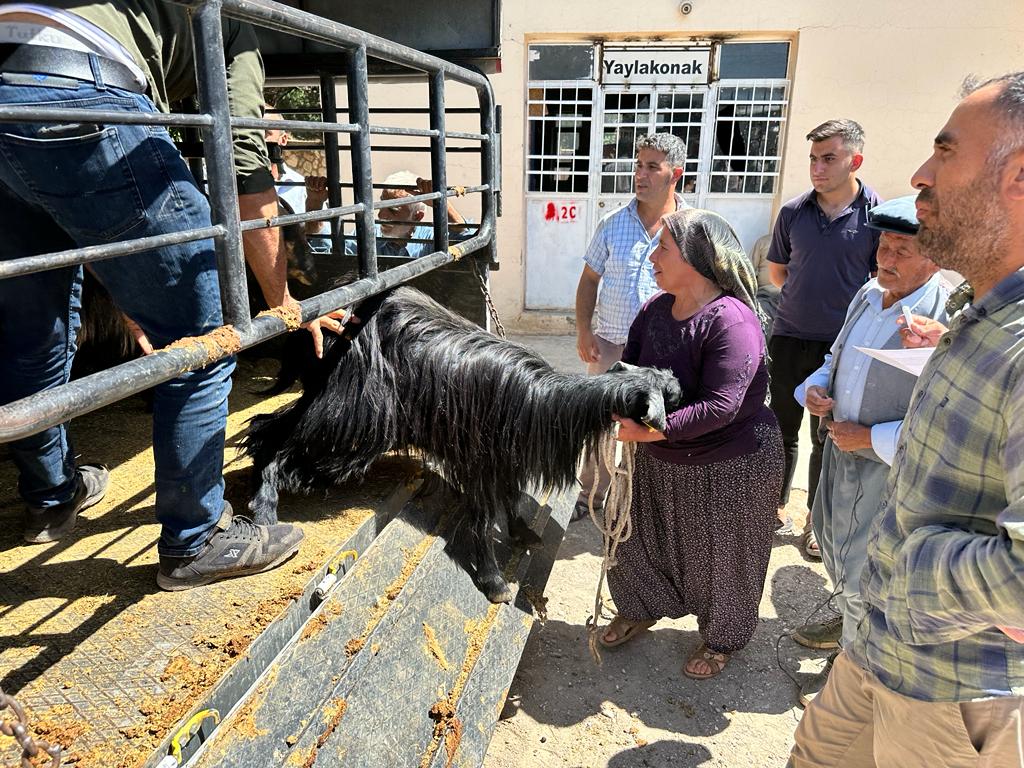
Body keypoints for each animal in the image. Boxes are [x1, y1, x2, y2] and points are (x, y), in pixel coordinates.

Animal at [243, 286, 684, 606]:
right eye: (667, 394)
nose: (683, 391)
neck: (541, 402)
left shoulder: (502, 461)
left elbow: (511, 499)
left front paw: (523, 532)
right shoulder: (480, 462)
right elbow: (481, 519)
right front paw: (494, 581)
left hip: (330, 404)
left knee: (268, 427)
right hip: (350, 419)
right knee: (279, 442)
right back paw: (265, 510)